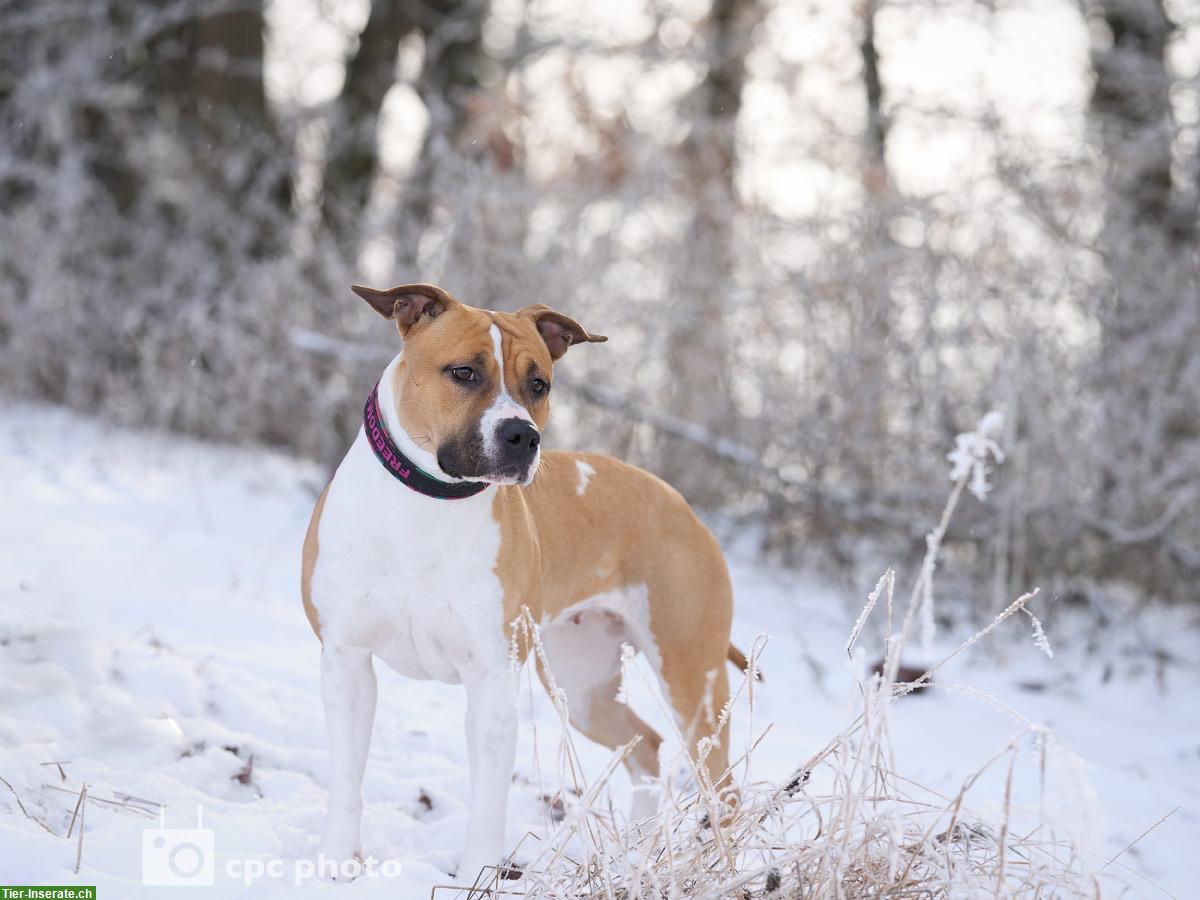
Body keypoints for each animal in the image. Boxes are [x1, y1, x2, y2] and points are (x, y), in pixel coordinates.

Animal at [300, 285, 744, 883]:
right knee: (645, 745)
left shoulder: (491, 682)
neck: (426, 506)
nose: (522, 435)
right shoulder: (346, 661)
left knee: (723, 786)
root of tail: (684, 508)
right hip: (582, 686)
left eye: (540, 384)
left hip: (690, 679)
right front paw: (336, 862)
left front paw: (474, 878)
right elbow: (348, 778)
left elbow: (488, 804)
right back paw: (634, 852)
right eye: (463, 372)